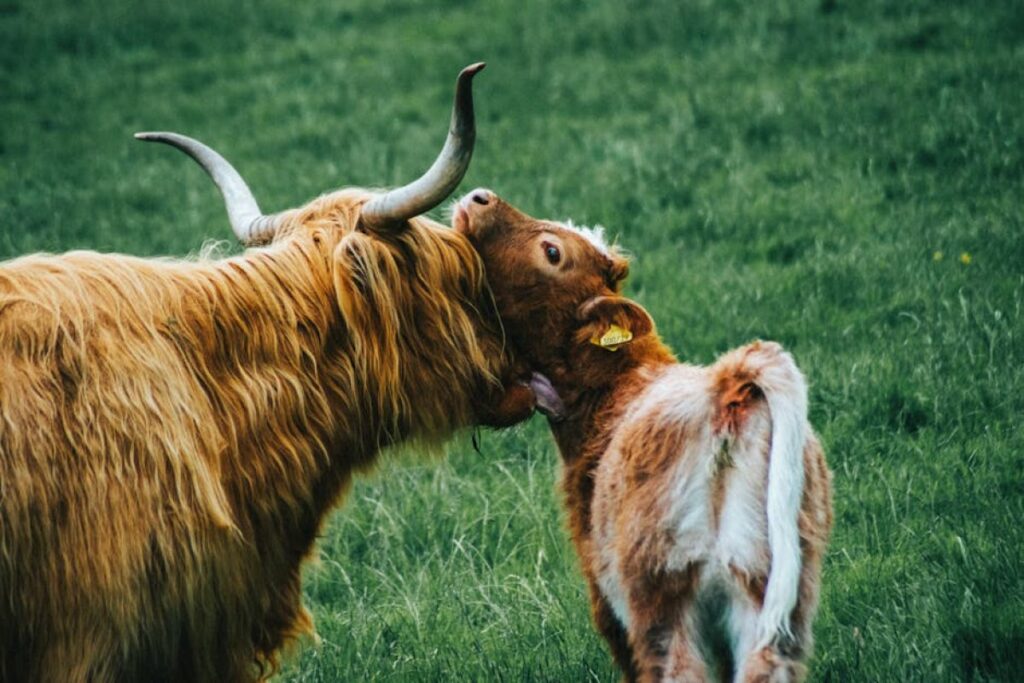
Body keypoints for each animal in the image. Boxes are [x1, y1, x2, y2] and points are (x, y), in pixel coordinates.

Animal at [453, 189, 833, 682]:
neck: (618, 387)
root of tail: (727, 383)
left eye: (553, 252)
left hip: (660, 594)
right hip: (772, 590)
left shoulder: (608, 606)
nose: (479, 197)